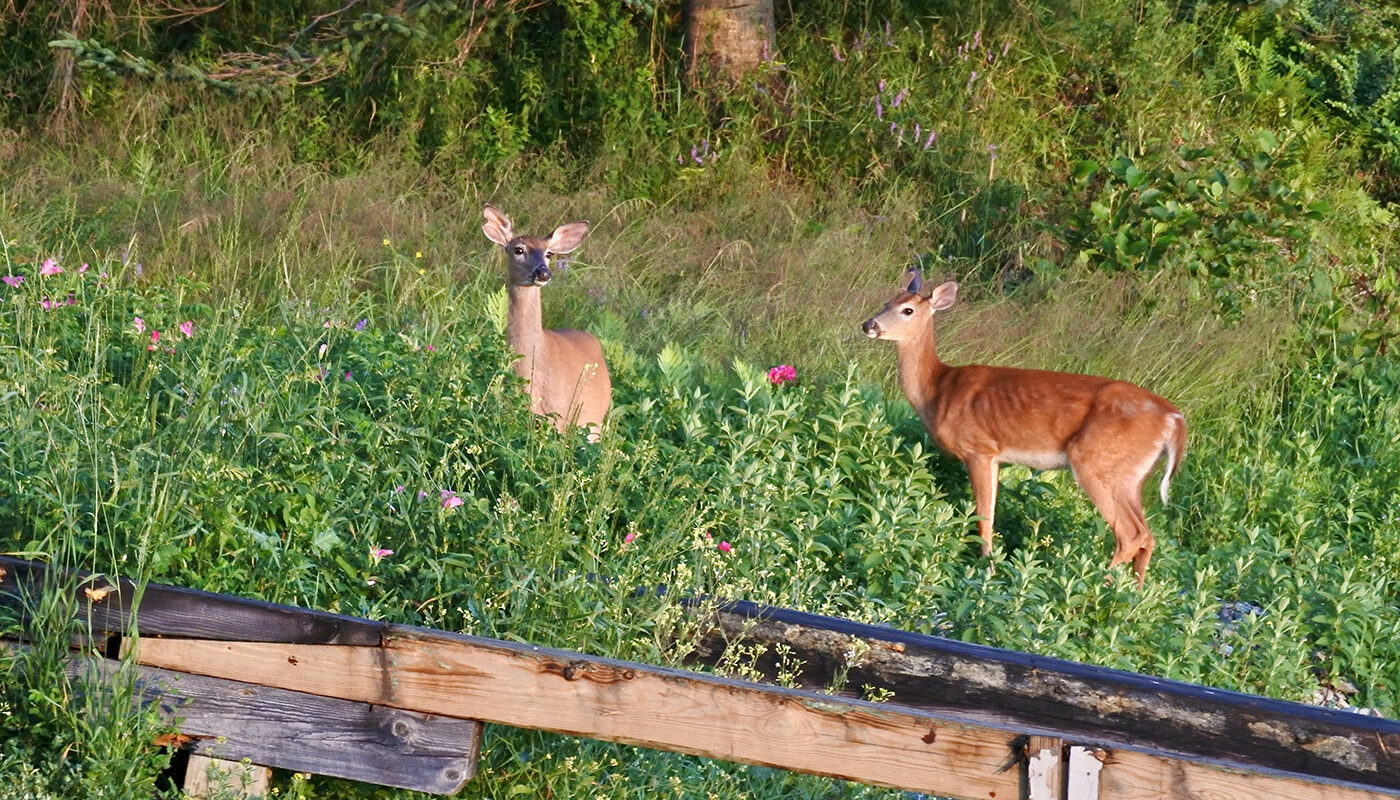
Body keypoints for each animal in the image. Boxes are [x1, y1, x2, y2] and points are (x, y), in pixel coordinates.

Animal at [856, 271, 1187, 591]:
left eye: (908, 310)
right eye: (887, 302)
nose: (868, 324)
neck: (937, 389)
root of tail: (1174, 419)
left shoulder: (978, 448)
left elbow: (984, 517)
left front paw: (987, 572)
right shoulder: (994, 457)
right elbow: (990, 513)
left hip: (1097, 462)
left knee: (1131, 534)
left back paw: (1089, 588)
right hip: (1130, 475)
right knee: (1147, 536)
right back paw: (1133, 596)